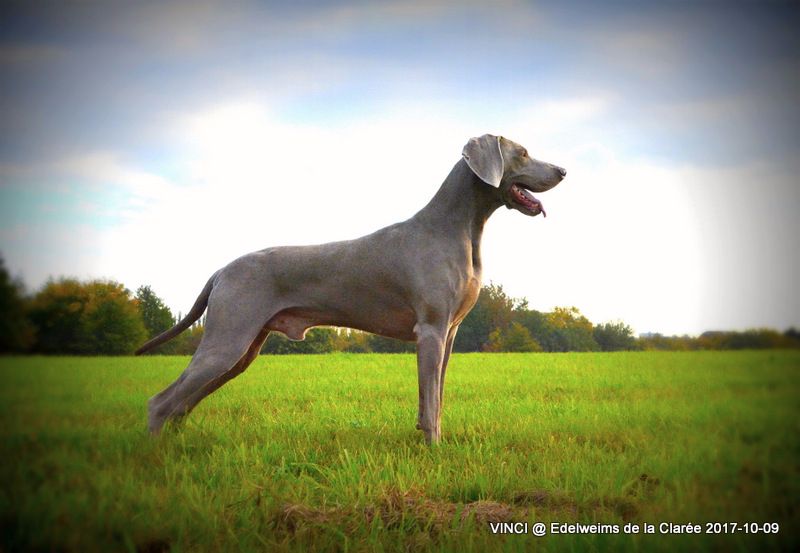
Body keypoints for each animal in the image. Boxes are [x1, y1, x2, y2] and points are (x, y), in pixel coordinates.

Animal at [136, 134, 564, 444]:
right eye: (523, 153)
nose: (562, 169)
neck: (458, 229)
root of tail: (222, 269)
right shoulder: (430, 331)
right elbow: (430, 402)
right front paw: (434, 449)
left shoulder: (450, 333)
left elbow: (437, 397)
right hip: (228, 340)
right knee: (160, 402)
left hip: (243, 350)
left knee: (181, 404)